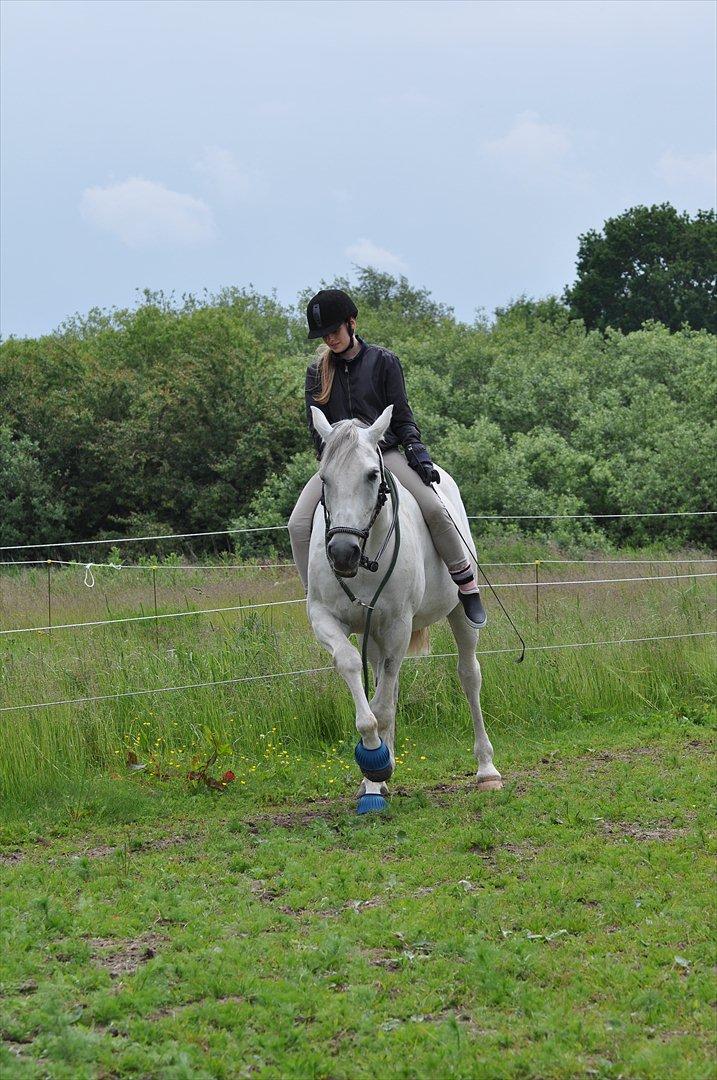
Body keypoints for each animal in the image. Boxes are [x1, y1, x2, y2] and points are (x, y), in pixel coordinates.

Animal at [306, 404, 503, 814]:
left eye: (371, 475)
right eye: (324, 478)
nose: (342, 553)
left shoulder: (398, 625)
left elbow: (381, 708)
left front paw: (375, 769)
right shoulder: (326, 620)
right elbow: (355, 673)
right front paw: (373, 775)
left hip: (458, 616)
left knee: (469, 676)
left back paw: (487, 770)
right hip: (375, 635)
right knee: (388, 683)